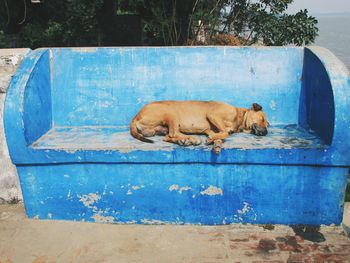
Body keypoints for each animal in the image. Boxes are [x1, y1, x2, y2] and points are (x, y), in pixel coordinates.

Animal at [130, 101, 270, 155]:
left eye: (267, 124)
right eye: (263, 119)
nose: (266, 132)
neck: (239, 116)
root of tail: (137, 115)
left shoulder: (211, 130)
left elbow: (221, 135)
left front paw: (216, 144)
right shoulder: (213, 115)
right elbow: (225, 132)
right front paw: (212, 140)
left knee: (167, 136)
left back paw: (184, 140)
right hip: (171, 112)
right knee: (172, 133)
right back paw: (191, 139)